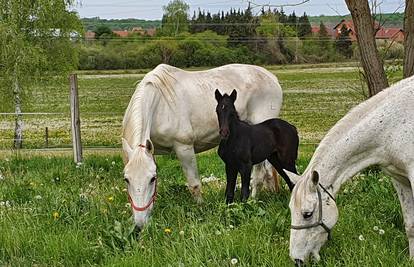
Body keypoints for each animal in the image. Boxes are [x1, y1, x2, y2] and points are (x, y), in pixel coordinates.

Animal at [123, 63, 284, 229]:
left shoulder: (184, 148)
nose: (140, 224)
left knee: (259, 174)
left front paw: (200, 209)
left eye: (152, 179)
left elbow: (194, 184)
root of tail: (271, 77)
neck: (160, 105)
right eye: (126, 179)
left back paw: (253, 200)